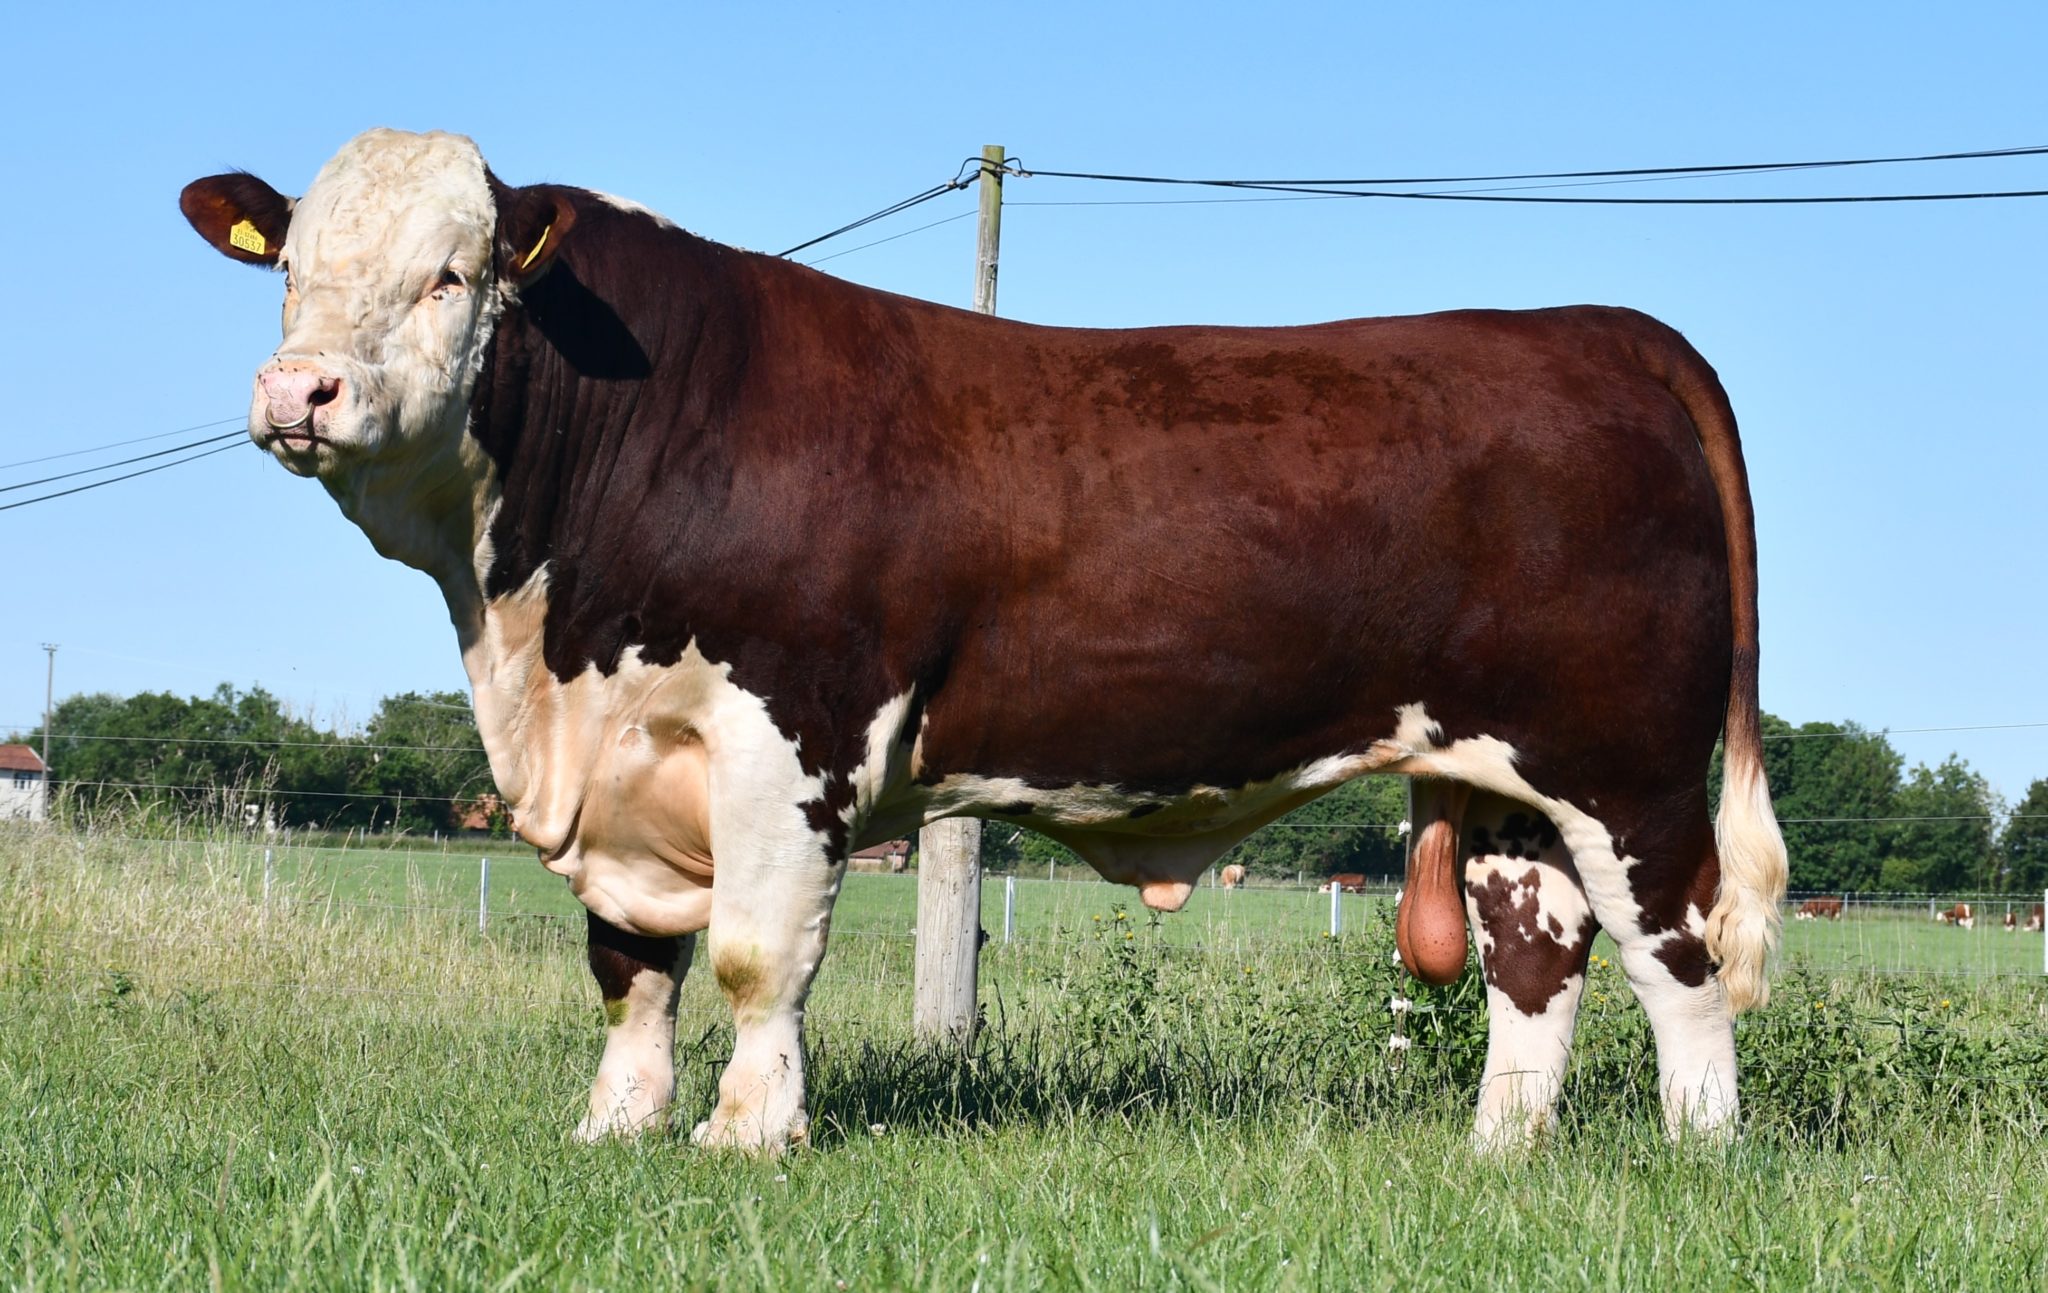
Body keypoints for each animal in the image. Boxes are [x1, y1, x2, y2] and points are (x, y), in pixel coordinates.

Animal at [184, 123, 1785, 1155]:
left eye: (452, 275)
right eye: (290, 269)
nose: (298, 390)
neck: (539, 640)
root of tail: (1594, 327)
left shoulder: (790, 730)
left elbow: (757, 959)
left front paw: (745, 1138)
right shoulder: (630, 760)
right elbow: (631, 967)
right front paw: (614, 1131)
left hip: (1626, 766)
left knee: (1681, 952)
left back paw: (1700, 1150)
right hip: (1507, 777)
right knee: (1537, 958)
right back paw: (1497, 1155)